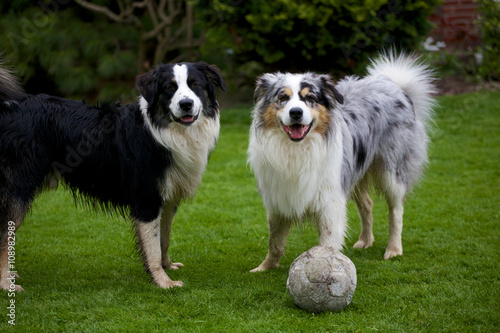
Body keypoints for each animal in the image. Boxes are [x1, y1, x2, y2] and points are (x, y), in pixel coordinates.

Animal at [0, 61, 227, 290]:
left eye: (195, 84)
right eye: (170, 88)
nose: (186, 104)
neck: (164, 132)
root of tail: (9, 107)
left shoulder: (169, 200)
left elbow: (164, 238)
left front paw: (168, 266)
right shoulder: (147, 199)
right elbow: (153, 247)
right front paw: (163, 281)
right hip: (19, 189)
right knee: (3, 235)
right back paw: (5, 282)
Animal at [248, 51, 436, 270]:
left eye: (310, 98)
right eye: (283, 97)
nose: (296, 112)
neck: (297, 149)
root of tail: (395, 86)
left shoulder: (330, 202)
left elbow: (327, 242)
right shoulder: (279, 199)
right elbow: (275, 241)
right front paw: (265, 267)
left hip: (391, 171)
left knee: (396, 210)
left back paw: (394, 249)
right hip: (356, 171)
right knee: (367, 204)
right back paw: (365, 240)